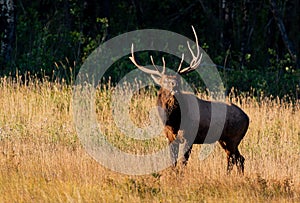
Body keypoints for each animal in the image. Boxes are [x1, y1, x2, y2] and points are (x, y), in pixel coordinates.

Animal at [129, 25, 248, 174]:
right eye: (164, 81)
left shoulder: (189, 137)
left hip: (233, 138)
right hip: (225, 140)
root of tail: (247, 118)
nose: (174, 85)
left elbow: (183, 162)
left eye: (178, 79)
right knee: (238, 158)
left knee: (235, 158)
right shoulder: (170, 137)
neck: (173, 122)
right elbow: (173, 162)